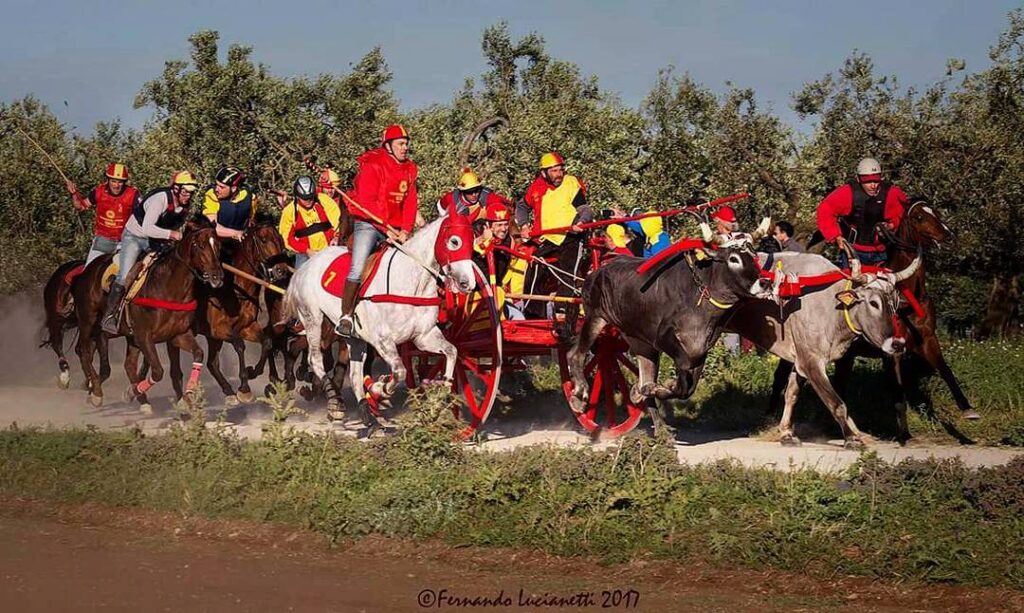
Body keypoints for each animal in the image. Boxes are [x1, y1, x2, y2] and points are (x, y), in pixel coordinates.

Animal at [74, 225, 224, 413]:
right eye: (200, 245)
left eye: (218, 245)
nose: (217, 277)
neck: (168, 288)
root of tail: (86, 270)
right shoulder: (144, 336)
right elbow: (158, 371)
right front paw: (130, 392)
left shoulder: (177, 335)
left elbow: (198, 353)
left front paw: (189, 392)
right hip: (88, 321)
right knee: (84, 351)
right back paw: (96, 392)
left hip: (129, 336)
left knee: (128, 364)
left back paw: (142, 401)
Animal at [192, 222, 290, 407]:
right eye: (263, 240)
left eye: (280, 239)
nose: (281, 270)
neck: (235, 289)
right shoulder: (219, 329)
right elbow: (239, 345)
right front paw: (244, 388)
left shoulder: (247, 326)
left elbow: (267, 342)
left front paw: (254, 372)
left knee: (212, 363)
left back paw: (229, 391)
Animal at [282, 210, 477, 431]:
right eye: (454, 241)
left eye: (472, 241)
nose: (468, 283)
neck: (412, 283)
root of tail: (305, 266)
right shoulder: (383, 341)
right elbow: (400, 371)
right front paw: (380, 389)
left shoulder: (424, 336)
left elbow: (452, 351)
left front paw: (442, 392)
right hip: (313, 321)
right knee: (315, 359)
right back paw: (335, 402)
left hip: (352, 338)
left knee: (354, 376)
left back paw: (369, 417)